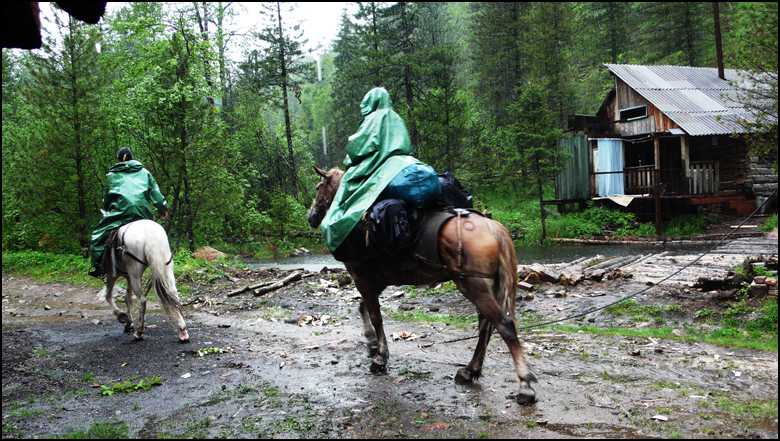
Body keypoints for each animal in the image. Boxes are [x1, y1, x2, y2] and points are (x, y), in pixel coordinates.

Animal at [304, 167, 536, 404]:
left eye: (318, 187)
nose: (310, 216)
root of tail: (493, 227)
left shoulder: (362, 278)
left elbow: (376, 316)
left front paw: (379, 357)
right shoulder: (377, 281)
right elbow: (363, 307)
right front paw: (371, 343)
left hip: (474, 287)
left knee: (504, 325)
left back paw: (524, 386)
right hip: (486, 287)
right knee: (486, 327)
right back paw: (470, 370)